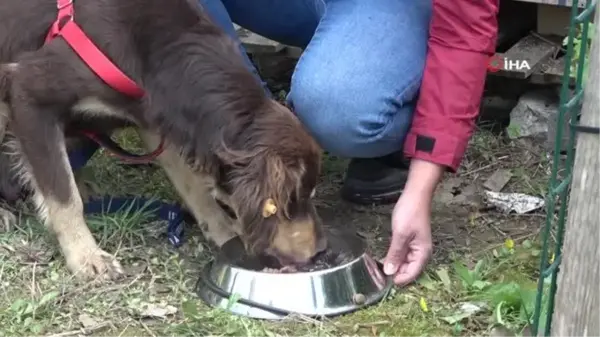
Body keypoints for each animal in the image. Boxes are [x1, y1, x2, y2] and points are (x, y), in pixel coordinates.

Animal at [0, 0, 326, 278]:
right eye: (295, 200)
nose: (320, 251)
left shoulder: (155, 120)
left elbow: (194, 186)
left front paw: (224, 231)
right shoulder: (28, 94)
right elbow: (64, 197)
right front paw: (86, 256)